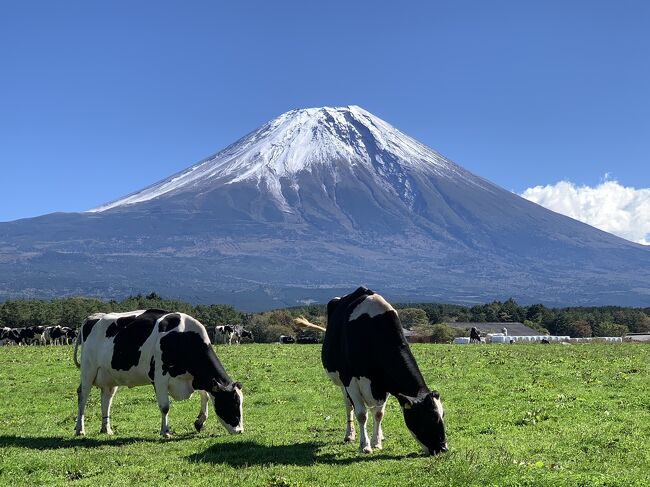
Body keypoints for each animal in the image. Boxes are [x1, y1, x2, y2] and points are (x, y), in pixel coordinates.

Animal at [71, 310, 243, 440]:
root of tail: (92, 317)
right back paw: (80, 429)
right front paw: (165, 432)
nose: (240, 430)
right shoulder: (160, 378)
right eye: (233, 403)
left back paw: (106, 429)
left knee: (106, 399)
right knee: (82, 397)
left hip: (109, 377)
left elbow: (205, 396)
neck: (182, 338)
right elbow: (165, 407)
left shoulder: (197, 378)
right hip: (88, 370)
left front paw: (199, 422)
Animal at [294, 288, 446, 456]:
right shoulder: (350, 380)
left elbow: (378, 414)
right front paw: (365, 445)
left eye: (442, 415)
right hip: (341, 381)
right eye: (429, 417)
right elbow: (361, 414)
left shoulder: (384, 382)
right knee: (348, 406)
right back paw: (349, 434)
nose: (443, 448)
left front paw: (377, 441)